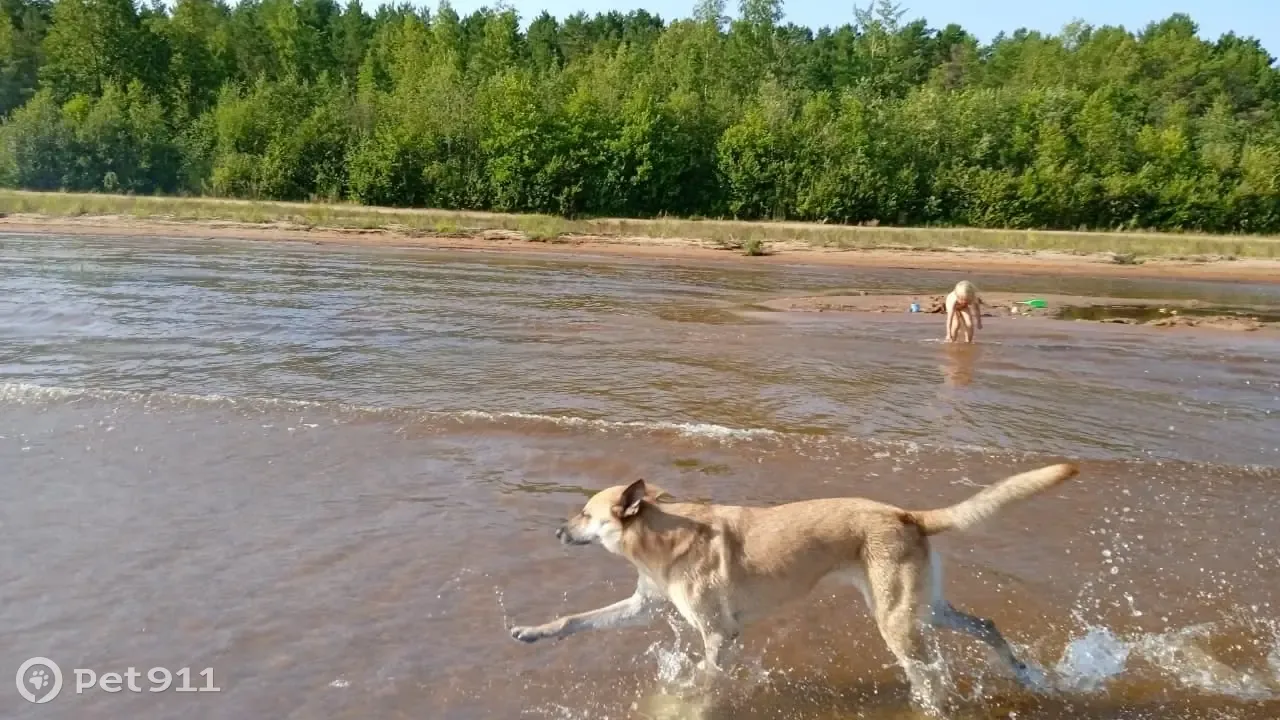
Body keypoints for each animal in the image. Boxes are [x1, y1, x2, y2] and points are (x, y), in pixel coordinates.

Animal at [509, 458, 1080, 712]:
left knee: (931, 675)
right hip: (925, 609)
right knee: (986, 625)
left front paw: (686, 702)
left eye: (585, 514)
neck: (661, 534)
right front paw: (533, 632)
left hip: (898, 621)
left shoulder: (718, 635)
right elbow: (576, 620)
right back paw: (1021, 673)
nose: (557, 532)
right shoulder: (641, 605)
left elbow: (703, 680)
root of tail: (906, 514)